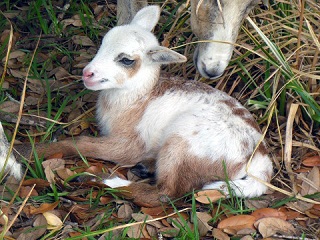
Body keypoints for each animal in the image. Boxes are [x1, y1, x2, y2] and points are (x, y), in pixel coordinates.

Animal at [8, 4, 272, 205]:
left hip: (183, 143)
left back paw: (96, 180)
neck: (139, 98)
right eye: (103, 43)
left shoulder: (129, 146)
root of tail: (260, 159)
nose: (87, 74)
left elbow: (77, 143)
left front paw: (23, 151)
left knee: (164, 194)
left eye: (126, 60)